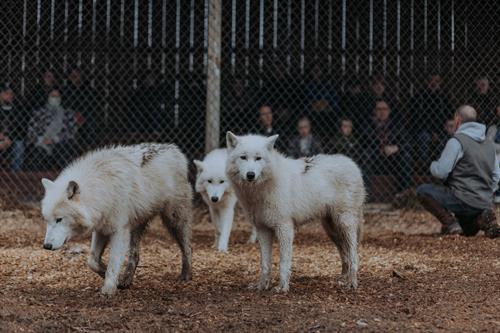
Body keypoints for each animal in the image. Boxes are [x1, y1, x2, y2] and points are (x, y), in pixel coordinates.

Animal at [38, 144, 191, 294]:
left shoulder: (119, 231)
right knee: (135, 256)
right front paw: (106, 274)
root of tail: (175, 149)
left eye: (59, 219)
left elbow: (113, 262)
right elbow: (92, 261)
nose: (47, 246)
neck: (101, 189)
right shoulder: (101, 229)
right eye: (47, 220)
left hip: (174, 220)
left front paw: (109, 288)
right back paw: (126, 280)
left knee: (187, 247)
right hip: (136, 227)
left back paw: (186, 275)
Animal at [226, 131, 364, 292]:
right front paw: (262, 286)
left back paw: (352, 283)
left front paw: (282, 288)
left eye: (258, 158)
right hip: (332, 229)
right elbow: (265, 264)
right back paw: (343, 279)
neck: (259, 191)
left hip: (344, 224)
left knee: (354, 255)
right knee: (345, 254)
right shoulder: (262, 229)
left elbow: (283, 263)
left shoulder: (285, 228)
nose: (250, 174)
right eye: (243, 157)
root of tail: (352, 164)